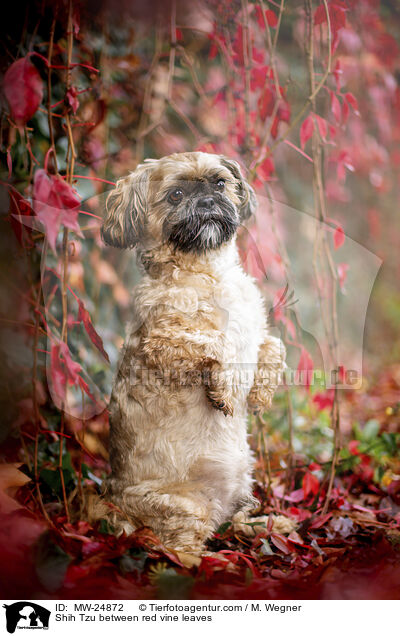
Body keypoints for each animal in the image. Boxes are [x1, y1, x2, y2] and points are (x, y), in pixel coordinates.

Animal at [91, 153, 290, 552]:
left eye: (220, 183)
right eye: (176, 194)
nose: (208, 202)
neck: (208, 271)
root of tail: (113, 502)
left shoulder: (255, 333)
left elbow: (274, 345)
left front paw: (261, 393)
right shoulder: (160, 342)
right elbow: (218, 343)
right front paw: (224, 391)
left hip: (244, 485)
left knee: (235, 522)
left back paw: (265, 525)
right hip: (184, 509)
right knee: (182, 551)